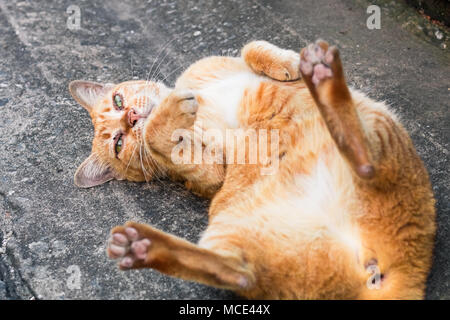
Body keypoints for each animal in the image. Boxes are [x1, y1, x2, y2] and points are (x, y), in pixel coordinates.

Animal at [68, 40, 434, 300]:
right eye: (118, 143)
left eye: (117, 100)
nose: (131, 118)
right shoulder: (212, 172)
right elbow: (162, 141)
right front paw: (163, 122)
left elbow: (251, 47)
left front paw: (289, 64)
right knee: (241, 273)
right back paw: (141, 247)